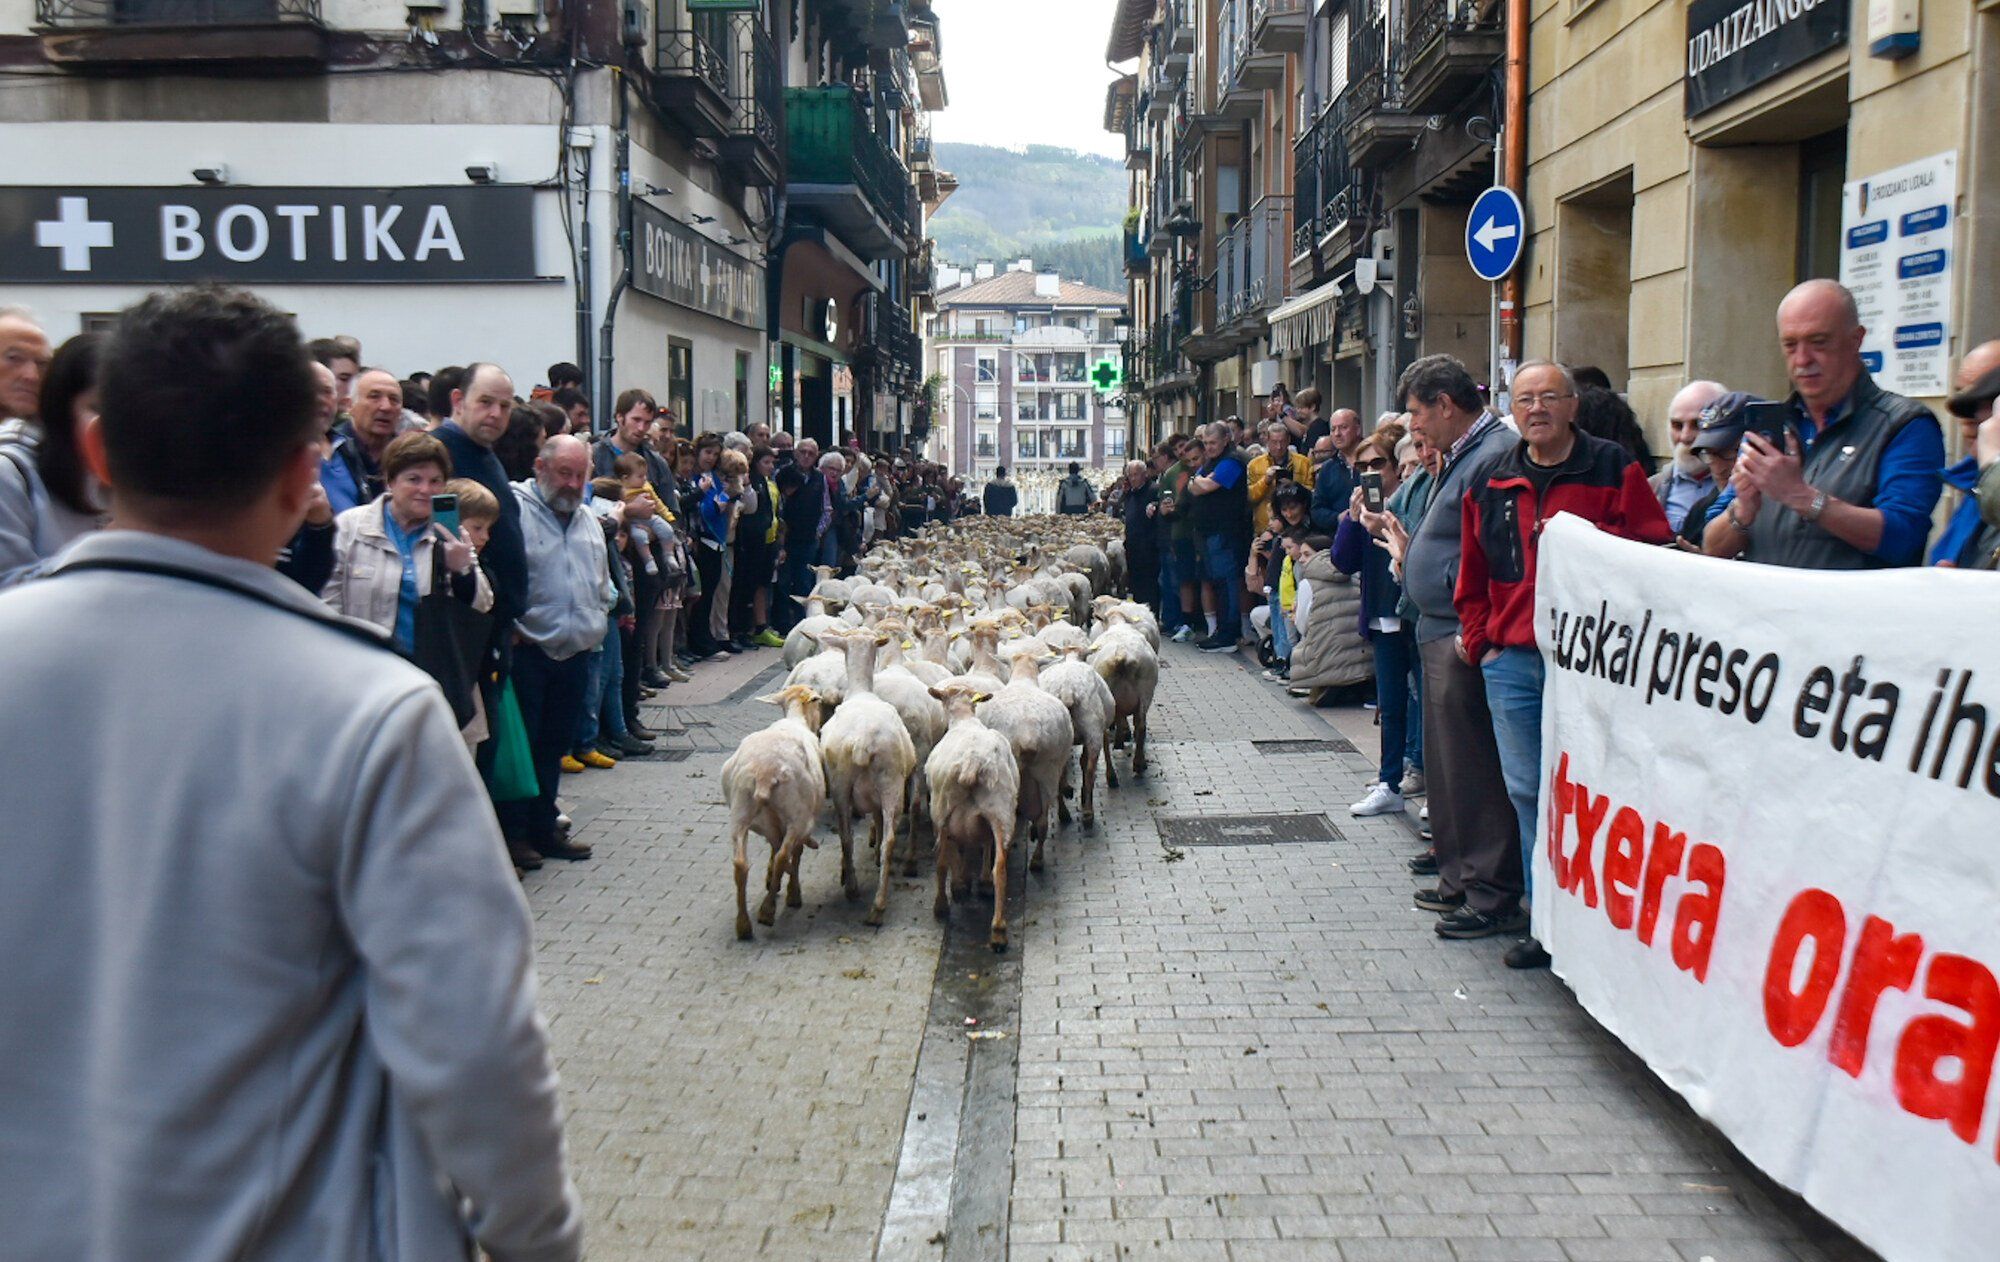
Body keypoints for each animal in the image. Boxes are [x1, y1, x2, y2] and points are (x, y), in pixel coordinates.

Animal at [720, 688, 828, 944]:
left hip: (740, 813)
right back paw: (769, 910)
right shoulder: (793, 822)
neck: (795, 719)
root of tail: (764, 773)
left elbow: (774, 848)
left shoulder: (772, 823)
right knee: (783, 855)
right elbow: (791, 854)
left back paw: (744, 926)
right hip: (797, 815)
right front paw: (787, 889)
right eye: (817, 702)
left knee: (741, 864)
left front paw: (772, 880)